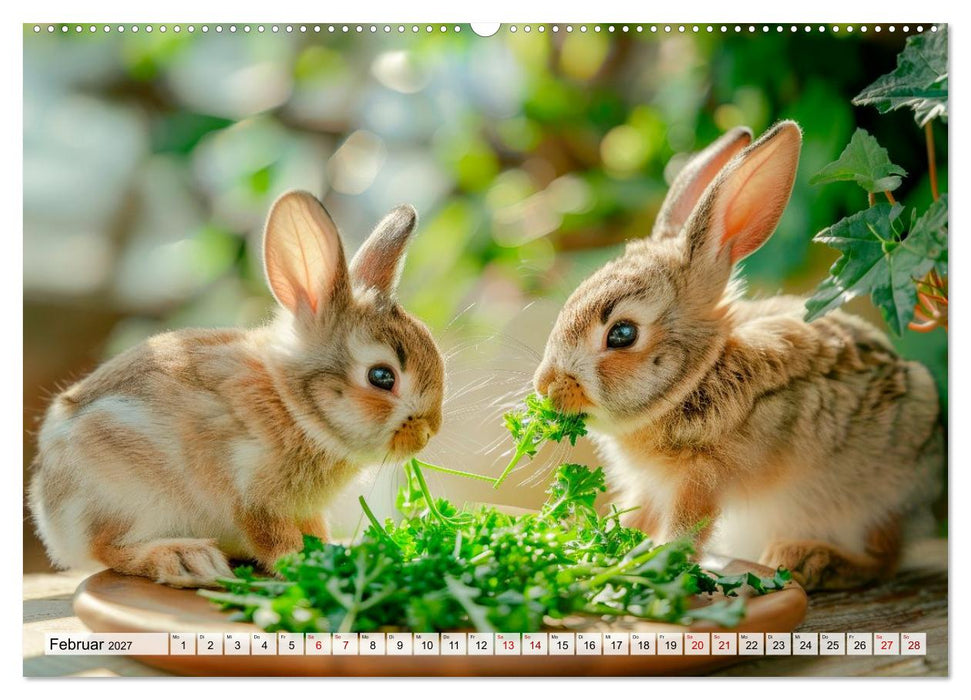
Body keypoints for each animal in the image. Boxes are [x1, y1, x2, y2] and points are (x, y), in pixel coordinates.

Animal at [28, 190, 445, 587]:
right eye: (382, 377)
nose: (428, 432)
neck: (294, 407)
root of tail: (49, 514)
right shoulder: (249, 492)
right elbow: (272, 538)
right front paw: (305, 566)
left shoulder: (304, 510)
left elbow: (314, 531)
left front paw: (332, 553)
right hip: (122, 499)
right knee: (107, 549)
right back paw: (187, 560)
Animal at [533, 121, 943, 591]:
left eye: (621, 334)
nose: (546, 386)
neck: (698, 375)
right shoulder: (653, 487)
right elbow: (640, 515)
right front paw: (604, 550)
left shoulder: (703, 477)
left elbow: (685, 529)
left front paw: (650, 564)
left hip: (873, 502)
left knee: (883, 559)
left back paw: (810, 560)